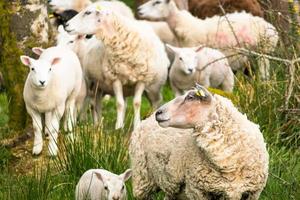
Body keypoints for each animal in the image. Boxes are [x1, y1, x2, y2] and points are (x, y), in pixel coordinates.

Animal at [129, 85, 270, 199]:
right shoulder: (197, 190)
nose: (158, 113)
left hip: (171, 186)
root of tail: (145, 120)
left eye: (190, 97)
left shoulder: (252, 192)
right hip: (142, 178)